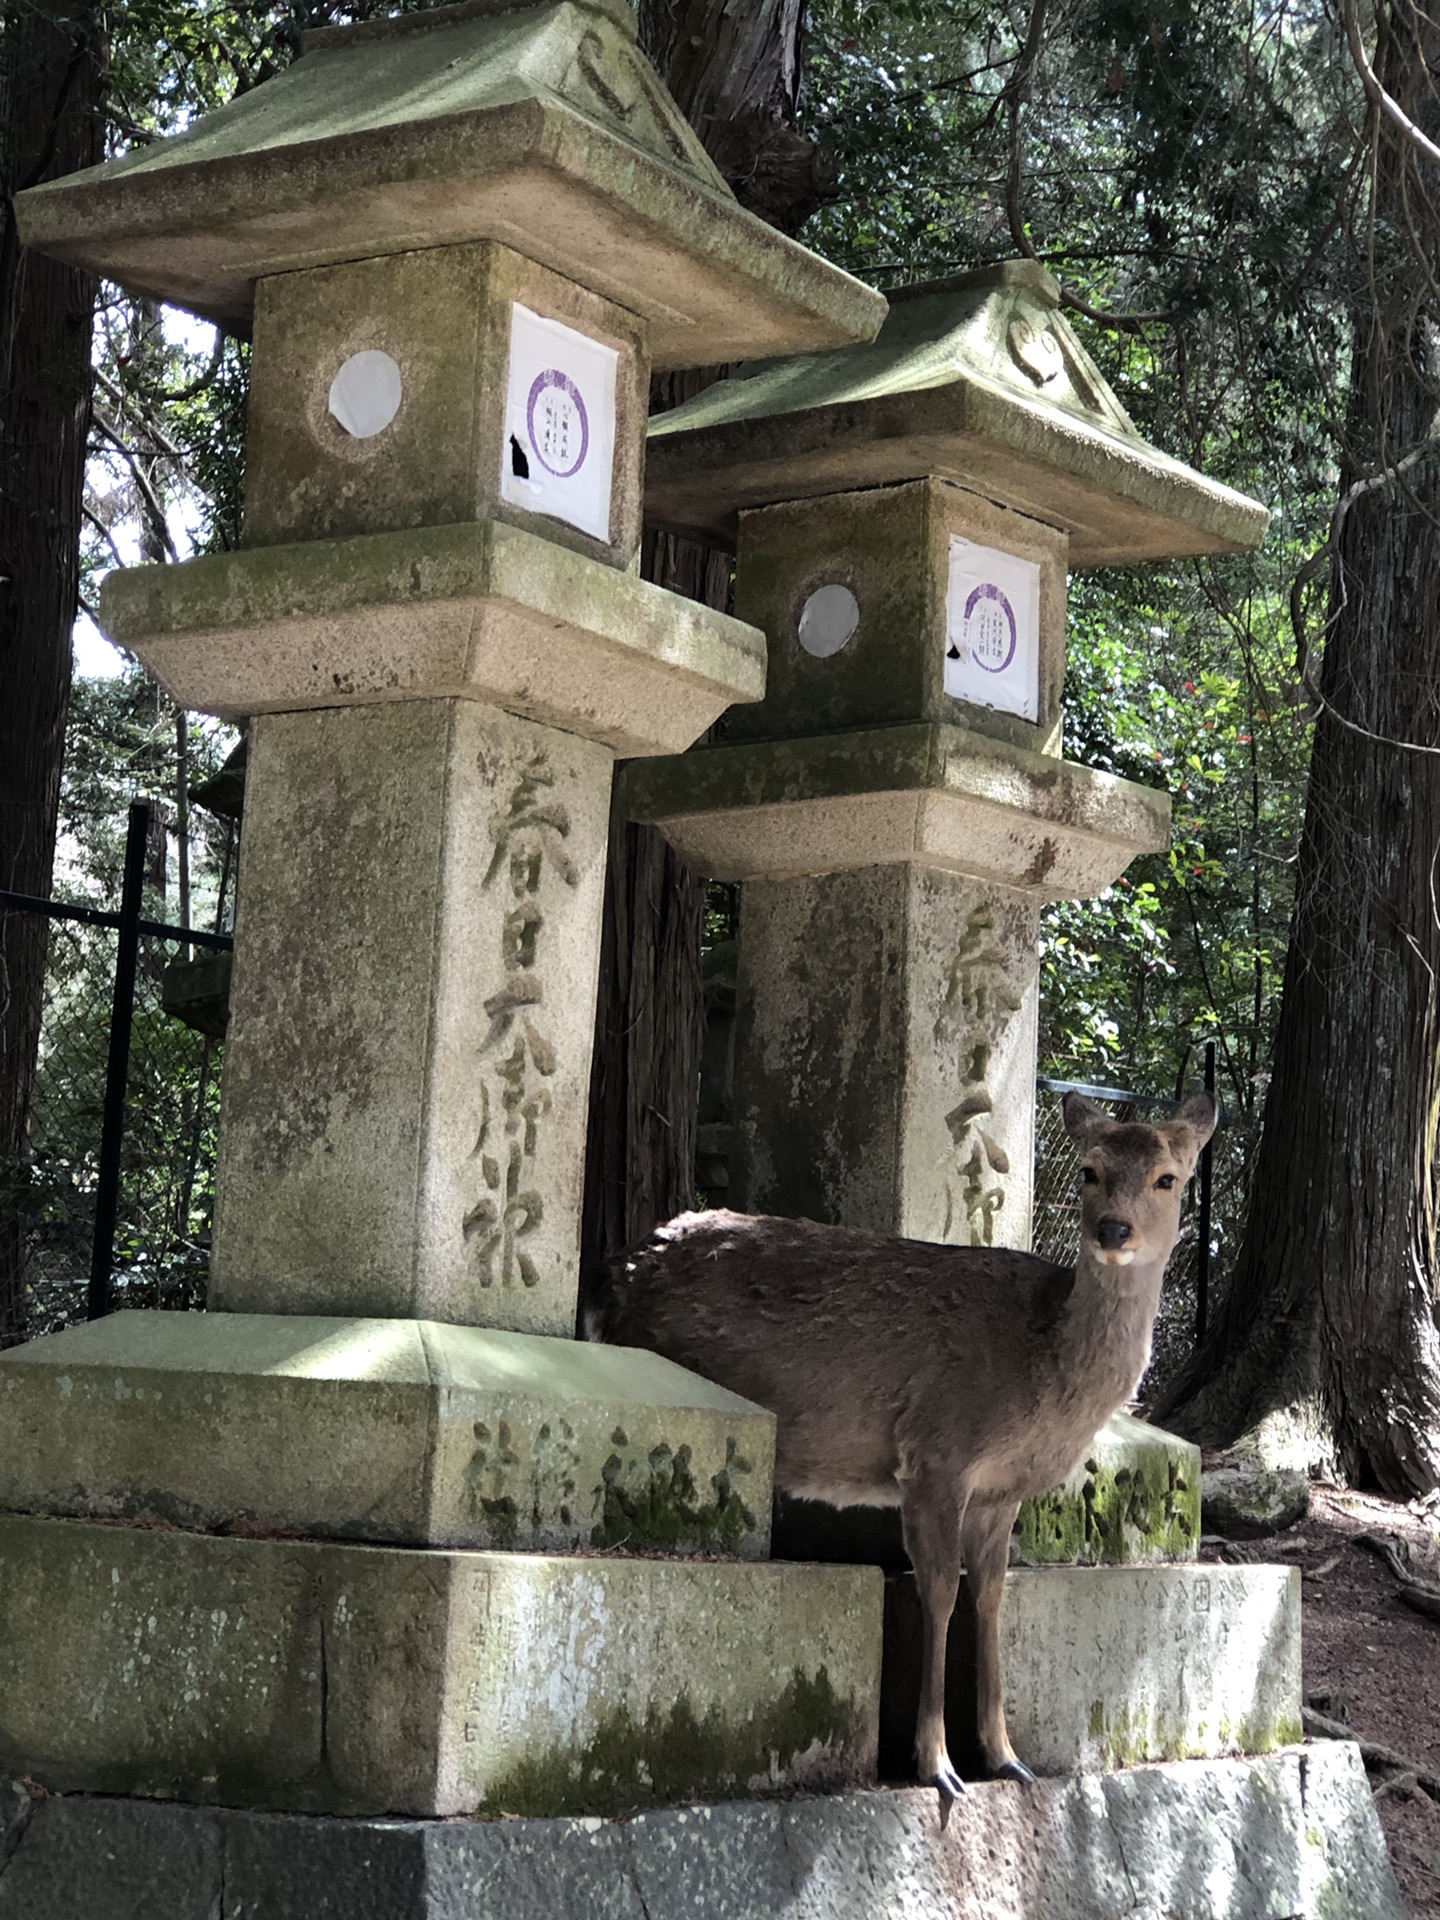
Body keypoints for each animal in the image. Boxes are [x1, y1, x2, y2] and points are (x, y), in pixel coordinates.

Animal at [587, 1090, 1221, 1804]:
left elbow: (992, 1593)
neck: (1043, 1380)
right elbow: (940, 1590)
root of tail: (614, 1273)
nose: (1113, 1230)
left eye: (1167, 1178)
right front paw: (938, 1764)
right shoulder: (935, 1452)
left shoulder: (1003, 1490)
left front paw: (1008, 1757)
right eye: (1089, 1170)